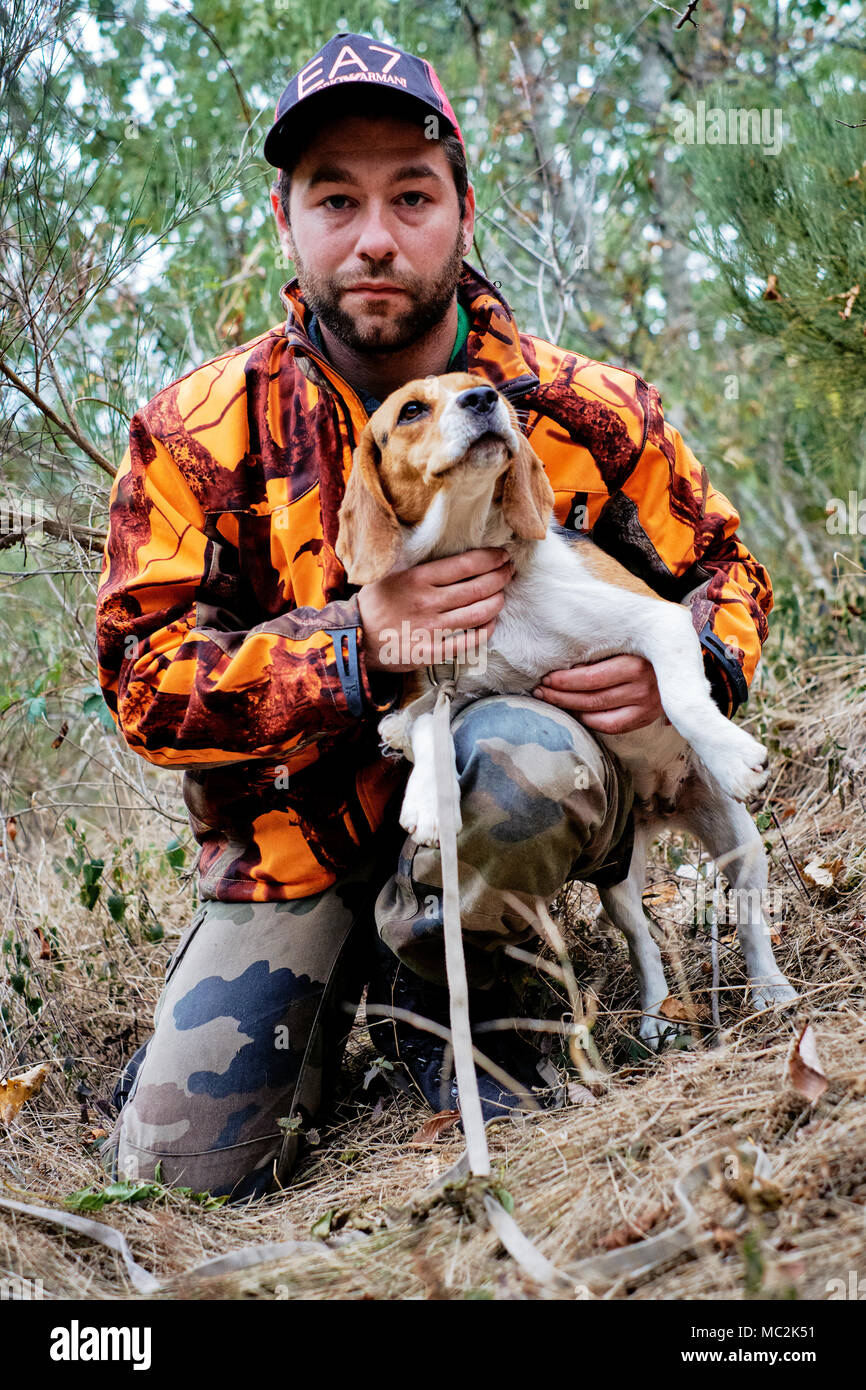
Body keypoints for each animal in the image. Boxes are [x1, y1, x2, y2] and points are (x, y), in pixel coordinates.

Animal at [337, 369, 800, 1045]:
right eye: (412, 410)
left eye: (477, 386)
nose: (486, 401)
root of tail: (662, 808)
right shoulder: (445, 692)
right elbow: (420, 731)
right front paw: (425, 797)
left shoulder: (657, 625)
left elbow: (682, 699)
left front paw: (731, 751)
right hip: (620, 880)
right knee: (643, 942)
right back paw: (657, 1016)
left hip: (742, 849)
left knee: (749, 920)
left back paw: (769, 991)